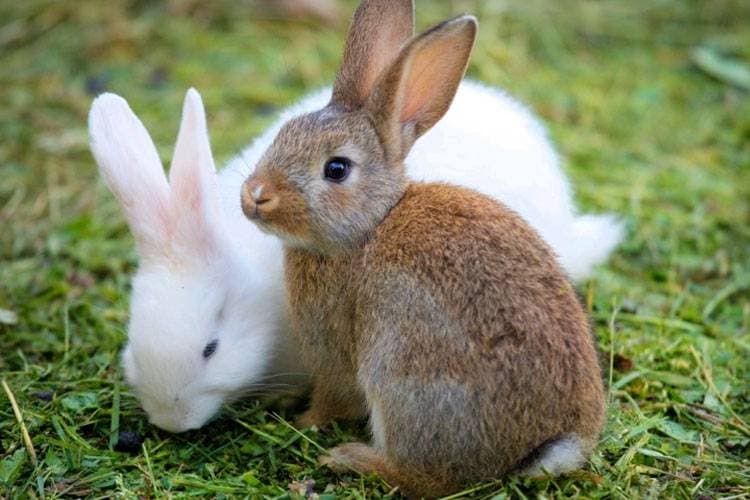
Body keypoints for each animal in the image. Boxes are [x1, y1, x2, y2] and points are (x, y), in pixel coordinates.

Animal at [240, 1, 606, 496]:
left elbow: (332, 398)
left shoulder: (335, 351)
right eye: (284, 134)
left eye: (336, 169)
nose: (255, 195)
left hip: (404, 375)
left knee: (429, 478)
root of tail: (547, 444)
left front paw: (303, 420)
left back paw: (351, 459)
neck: (370, 226)